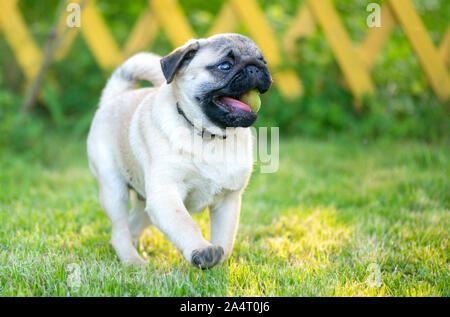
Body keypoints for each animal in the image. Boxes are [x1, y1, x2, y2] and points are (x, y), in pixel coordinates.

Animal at [87, 33, 270, 268]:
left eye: (263, 61)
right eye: (225, 66)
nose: (255, 67)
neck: (208, 135)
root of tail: (113, 98)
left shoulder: (228, 201)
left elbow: (226, 239)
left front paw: (219, 265)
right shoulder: (165, 196)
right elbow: (185, 223)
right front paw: (202, 250)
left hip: (146, 201)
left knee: (133, 224)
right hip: (114, 189)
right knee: (119, 231)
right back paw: (133, 260)